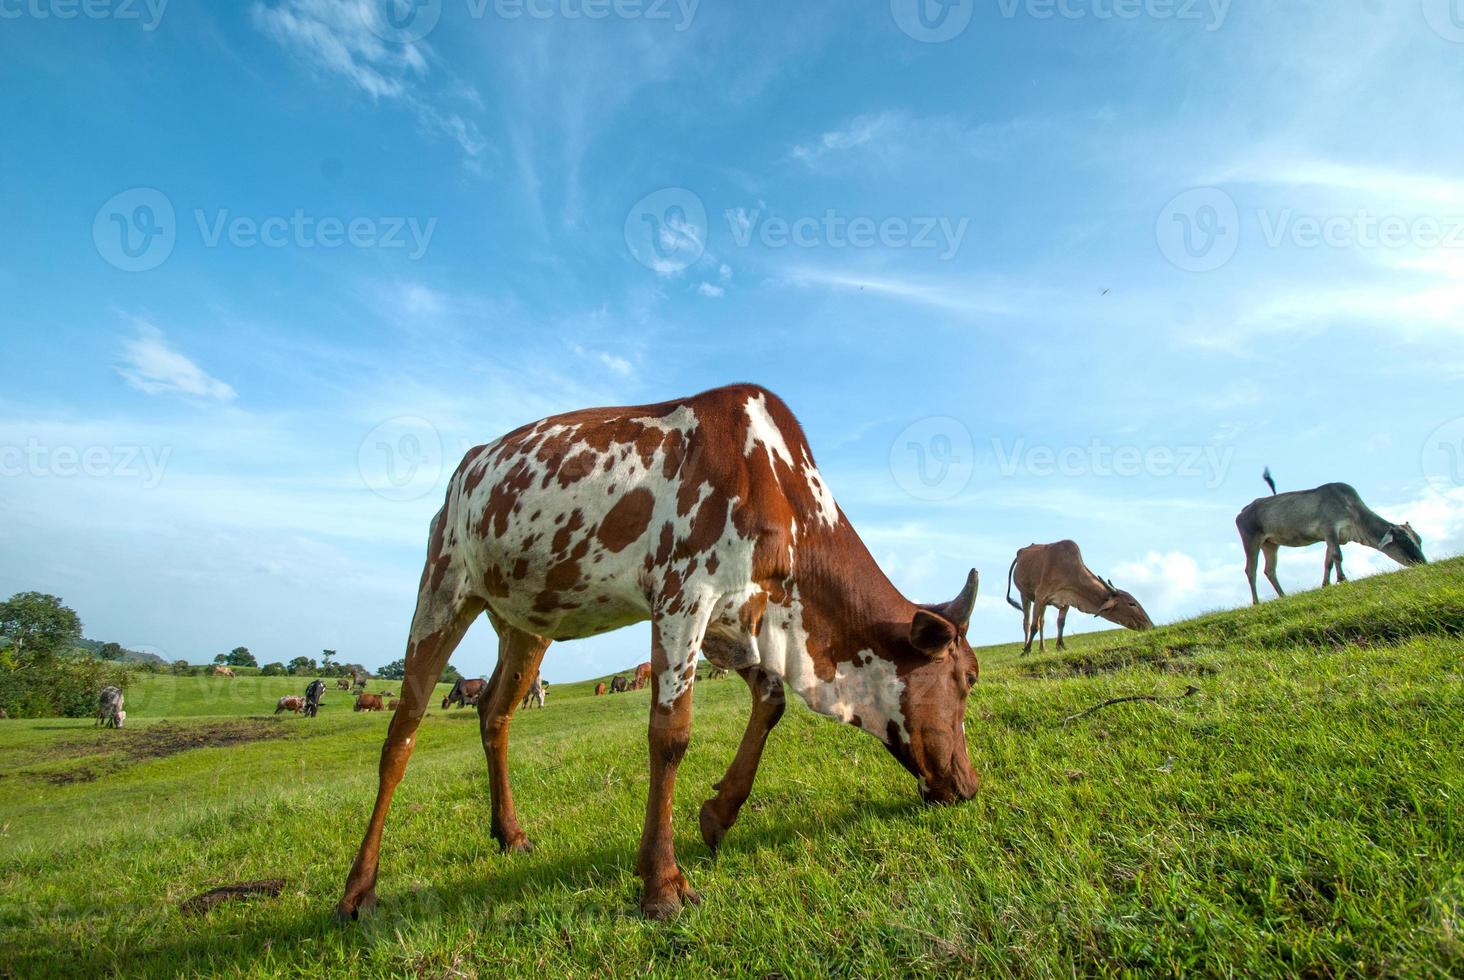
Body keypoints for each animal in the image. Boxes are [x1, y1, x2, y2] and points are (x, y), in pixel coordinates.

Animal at [335, 386, 977, 919]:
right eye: (967, 679)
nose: (970, 786)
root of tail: (468, 464)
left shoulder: (732, 619)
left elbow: (770, 699)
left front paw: (719, 814)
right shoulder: (681, 594)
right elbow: (670, 735)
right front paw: (663, 884)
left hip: (526, 622)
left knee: (494, 711)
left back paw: (509, 833)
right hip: (443, 587)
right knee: (402, 733)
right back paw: (357, 890)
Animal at [1007, 539, 1153, 653]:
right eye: (1131, 604)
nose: (1151, 625)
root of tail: (1021, 552)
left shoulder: (1066, 599)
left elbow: (1060, 623)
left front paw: (1060, 646)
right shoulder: (1040, 596)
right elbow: (1034, 626)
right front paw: (1026, 650)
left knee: (1041, 622)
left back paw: (1043, 649)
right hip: (1025, 595)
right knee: (1027, 622)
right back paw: (1026, 646)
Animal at [1229, 468, 1423, 603]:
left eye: (1419, 540)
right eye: (1404, 541)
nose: (1422, 562)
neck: (1354, 515)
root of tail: (1243, 511)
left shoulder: (1331, 537)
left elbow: (1328, 561)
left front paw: (1326, 584)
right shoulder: (1330, 529)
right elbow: (1337, 555)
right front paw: (1342, 579)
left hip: (1270, 544)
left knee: (1269, 570)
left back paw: (1283, 595)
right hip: (1251, 540)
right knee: (1251, 570)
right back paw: (1256, 602)